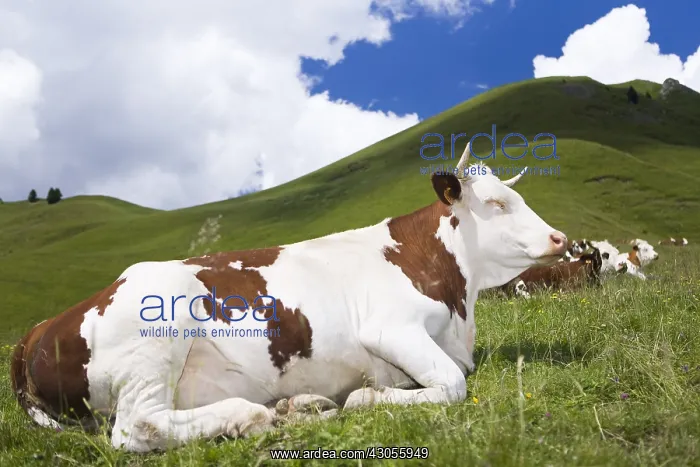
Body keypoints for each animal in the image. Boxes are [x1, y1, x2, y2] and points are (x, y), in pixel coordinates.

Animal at [10, 142, 567, 453]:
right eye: (497, 203)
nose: (560, 238)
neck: (457, 303)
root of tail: (35, 329)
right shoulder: (389, 328)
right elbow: (452, 384)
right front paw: (365, 399)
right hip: (156, 331)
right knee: (136, 427)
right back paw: (252, 416)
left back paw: (299, 405)